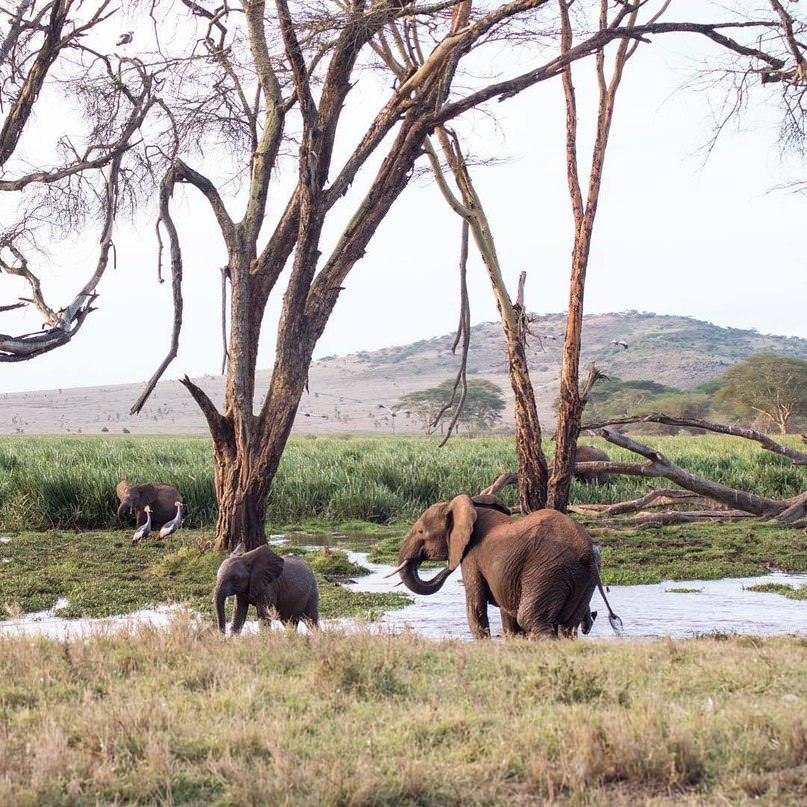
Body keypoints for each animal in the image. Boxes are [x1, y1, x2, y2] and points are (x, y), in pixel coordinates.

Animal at [388, 496, 620, 640]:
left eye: (420, 531)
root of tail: (588, 550)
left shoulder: (471, 556)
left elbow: (476, 607)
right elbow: (507, 613)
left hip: (549, 570)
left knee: (532, 618)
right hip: (583, 579)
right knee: (567, 627)